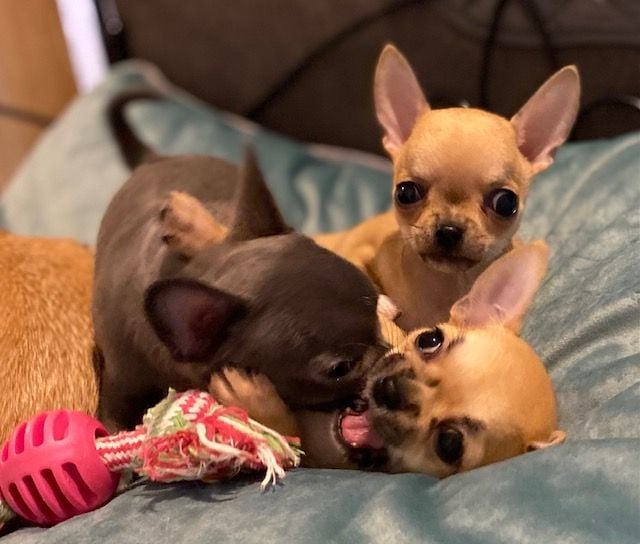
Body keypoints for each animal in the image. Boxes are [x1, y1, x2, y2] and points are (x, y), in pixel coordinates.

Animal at [315, 44, 580, 330]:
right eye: (405, 192)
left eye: (506, 203)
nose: (449, 230)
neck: (451, 284)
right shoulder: (360, 251)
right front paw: (383, 305)